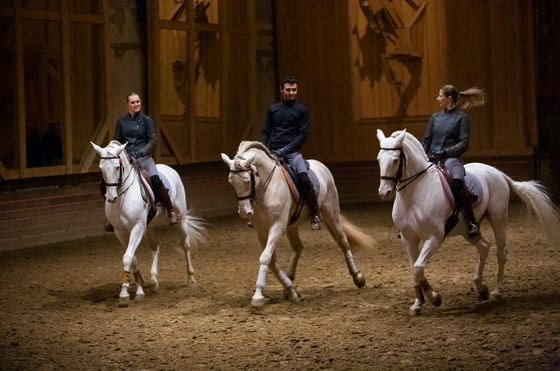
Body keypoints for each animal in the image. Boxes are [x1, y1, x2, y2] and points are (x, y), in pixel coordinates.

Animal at [91, 140, 207, 308]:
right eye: (101, 168)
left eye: (117, 167)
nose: (111, 197)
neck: (122, 197)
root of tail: (169, 168)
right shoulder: (121, 232)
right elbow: (132, 258)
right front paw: (139, 288)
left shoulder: (137, 228)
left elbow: (127, 257)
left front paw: (124, 294)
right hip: (149, 227)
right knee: (155, 247)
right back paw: (154, 280)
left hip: (181, 218)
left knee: (185, 245)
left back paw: (191, 280)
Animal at [221, 141, 374, 310]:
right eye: (231, 182)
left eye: (248, 180)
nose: (244, 212)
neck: (266, 188)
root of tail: (321, 165)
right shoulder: (261, 232)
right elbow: (271, 261)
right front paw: (292, 291)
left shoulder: (277, 227)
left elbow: (265, 258)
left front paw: (258, 296)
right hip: (292, 226)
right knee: (298, 248)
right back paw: (289, 282)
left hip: (331, 212)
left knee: (343, 242)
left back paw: (358, 277)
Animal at [376, 129, 560, 316]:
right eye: (378, 159)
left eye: (395, 160)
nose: (384, 192)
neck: (415, 194)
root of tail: (497, 172)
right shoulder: (409, 239)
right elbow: (414, 270)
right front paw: (417, 304)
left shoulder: (434, 237)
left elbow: (418, 266)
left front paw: (435, 298)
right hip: (467, 230)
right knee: (484, 246)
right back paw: (481, 288)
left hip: (498, 218)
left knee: (501, 252)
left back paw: (496, 291)